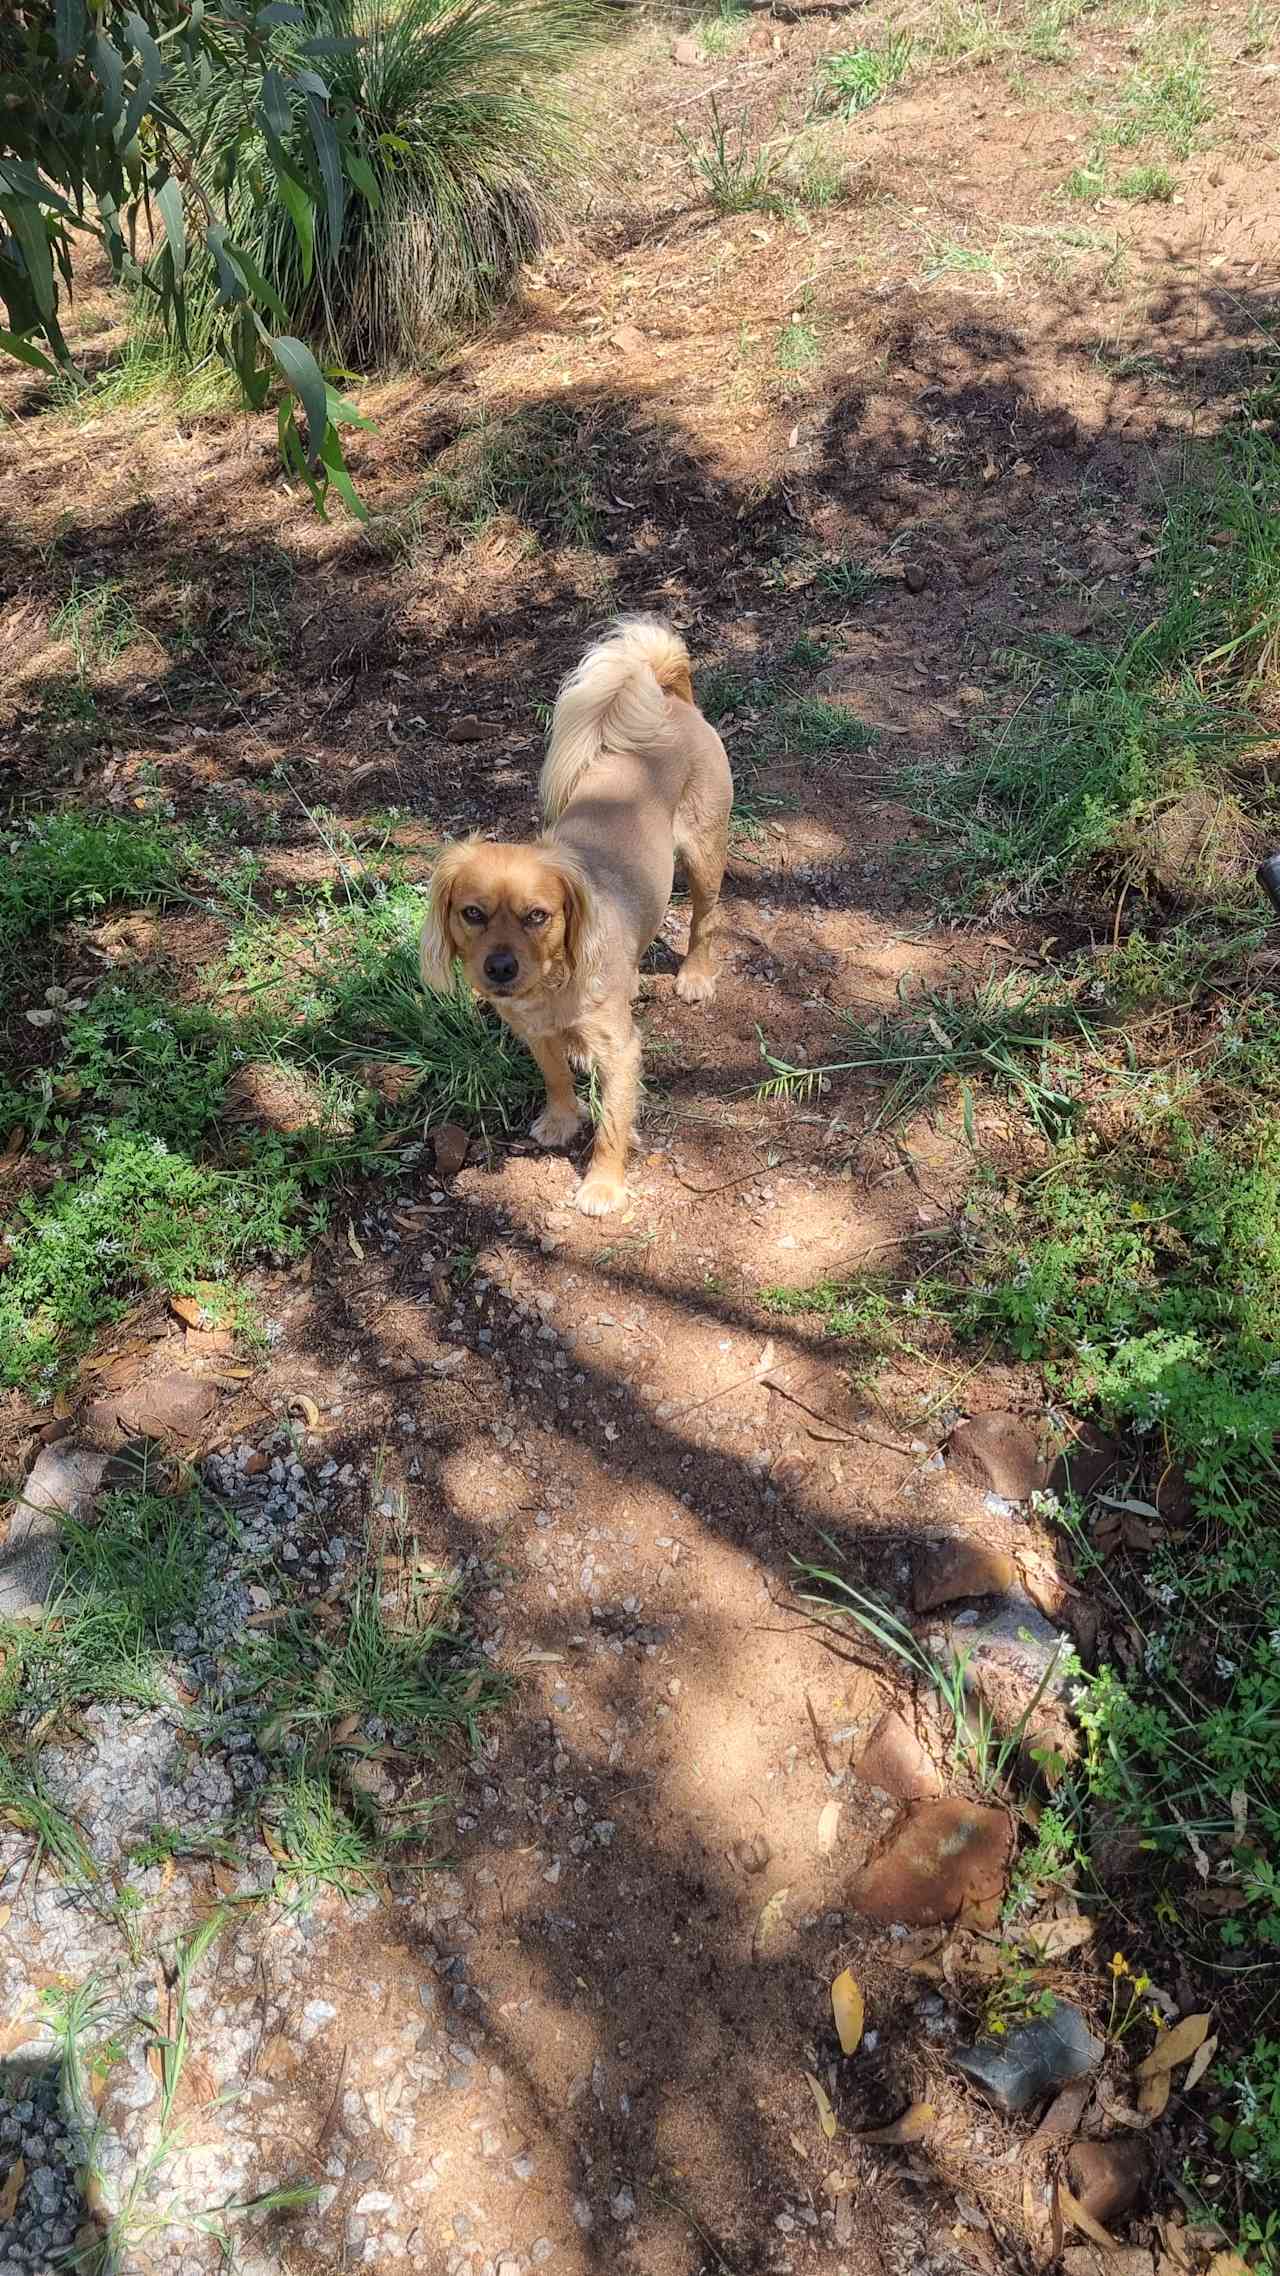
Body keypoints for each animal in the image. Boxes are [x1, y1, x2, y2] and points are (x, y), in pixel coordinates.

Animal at [421, 605, 728, 1210]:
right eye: (473, 913)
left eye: (538, 915)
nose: (499, 968)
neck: (551, 985)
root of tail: (674, 699)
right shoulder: (534, 1034)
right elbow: (556, 1077)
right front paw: (563, 1119)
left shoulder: (622, 1052)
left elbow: (612, 1124)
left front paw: (602, 1185)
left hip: (705, 858)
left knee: (705, 921)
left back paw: (695, 976)